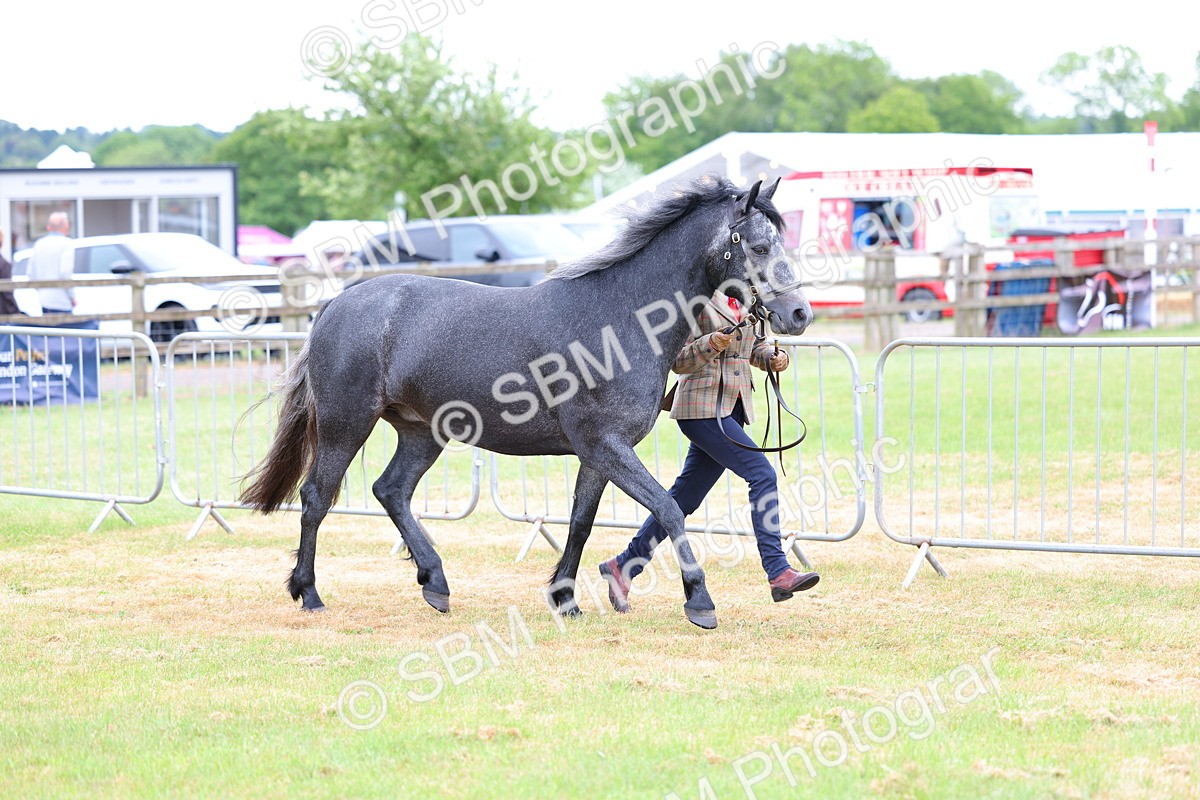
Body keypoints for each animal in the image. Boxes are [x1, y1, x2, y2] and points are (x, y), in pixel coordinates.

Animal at [240, 174, 812, 629]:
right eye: (759, 246)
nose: (799, 313)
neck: (618, 317)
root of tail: (337, 303)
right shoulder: (606, 445)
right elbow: (669, 509)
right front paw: (700, 603)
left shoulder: (598, 453)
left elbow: (581, 523)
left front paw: (565, 599)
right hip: (347, 422)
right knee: (318, 497)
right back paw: (309, 592)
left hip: (422, 431)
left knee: (390, 490)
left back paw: (435, 583)